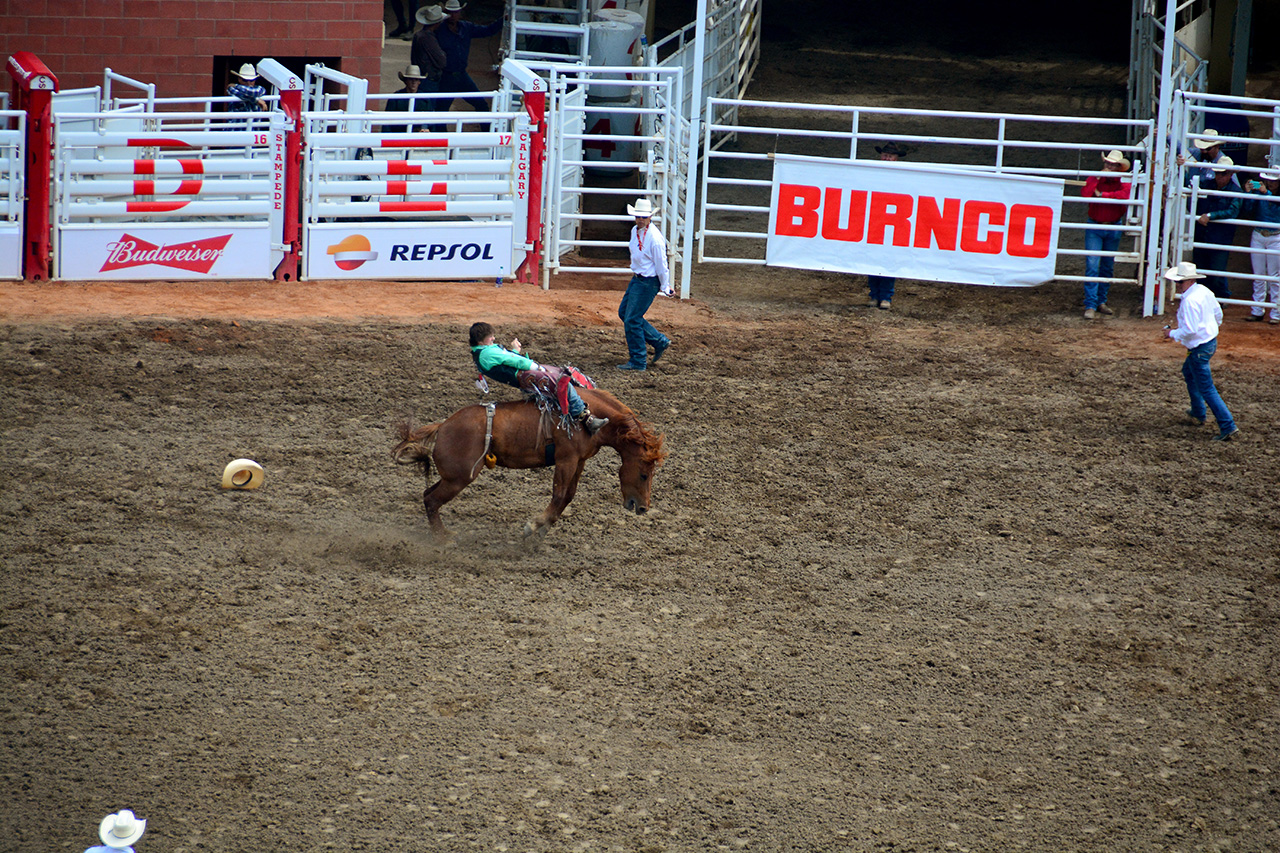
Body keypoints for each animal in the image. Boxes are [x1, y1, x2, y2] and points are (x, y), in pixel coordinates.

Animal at [394, 384, 665, 532]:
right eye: (644, 474)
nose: (643, 508)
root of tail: (443, 426)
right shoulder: (566, 459)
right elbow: (559, 495)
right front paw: (533, 527)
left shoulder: (580, 460)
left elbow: (568, 496)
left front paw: (542, 530)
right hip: (459, 478)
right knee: (432, 500)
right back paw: (444, 540)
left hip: (452, 477)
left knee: (427, 496)